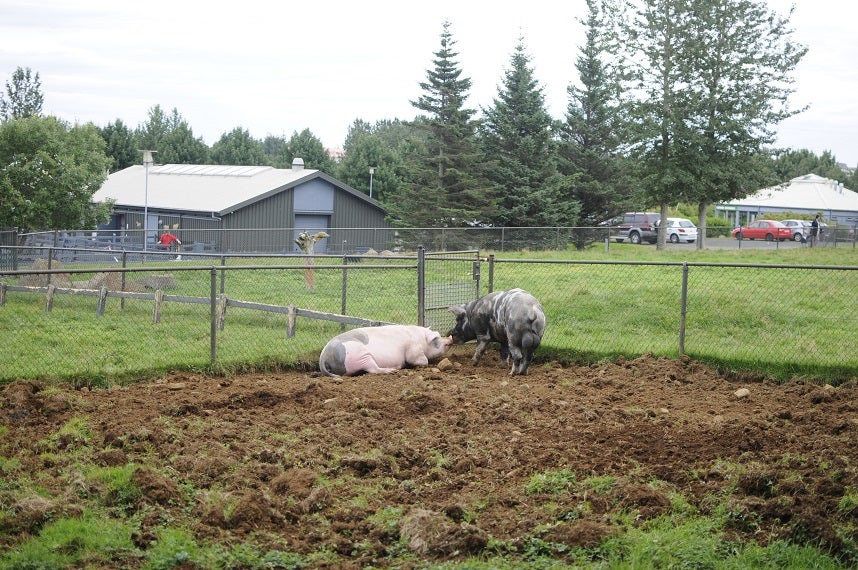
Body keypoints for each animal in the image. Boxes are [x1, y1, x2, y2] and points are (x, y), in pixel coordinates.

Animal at [316, 324, 448, 378]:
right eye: (436, 338)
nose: (449, 340)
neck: (421, 340)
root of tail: (324, 356)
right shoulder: (414, 349)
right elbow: (421, 361)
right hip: (360, 354)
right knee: (373, 369)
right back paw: (392, 370)